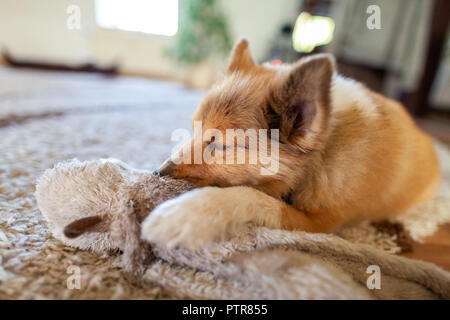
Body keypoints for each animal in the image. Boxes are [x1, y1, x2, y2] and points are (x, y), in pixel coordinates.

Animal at [142, 38, 440, 248]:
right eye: (194, 129)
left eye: (222, 146)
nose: (158, 173)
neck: (321, 154)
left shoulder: (317, 223)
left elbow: (249, 195)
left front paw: (184, 213)